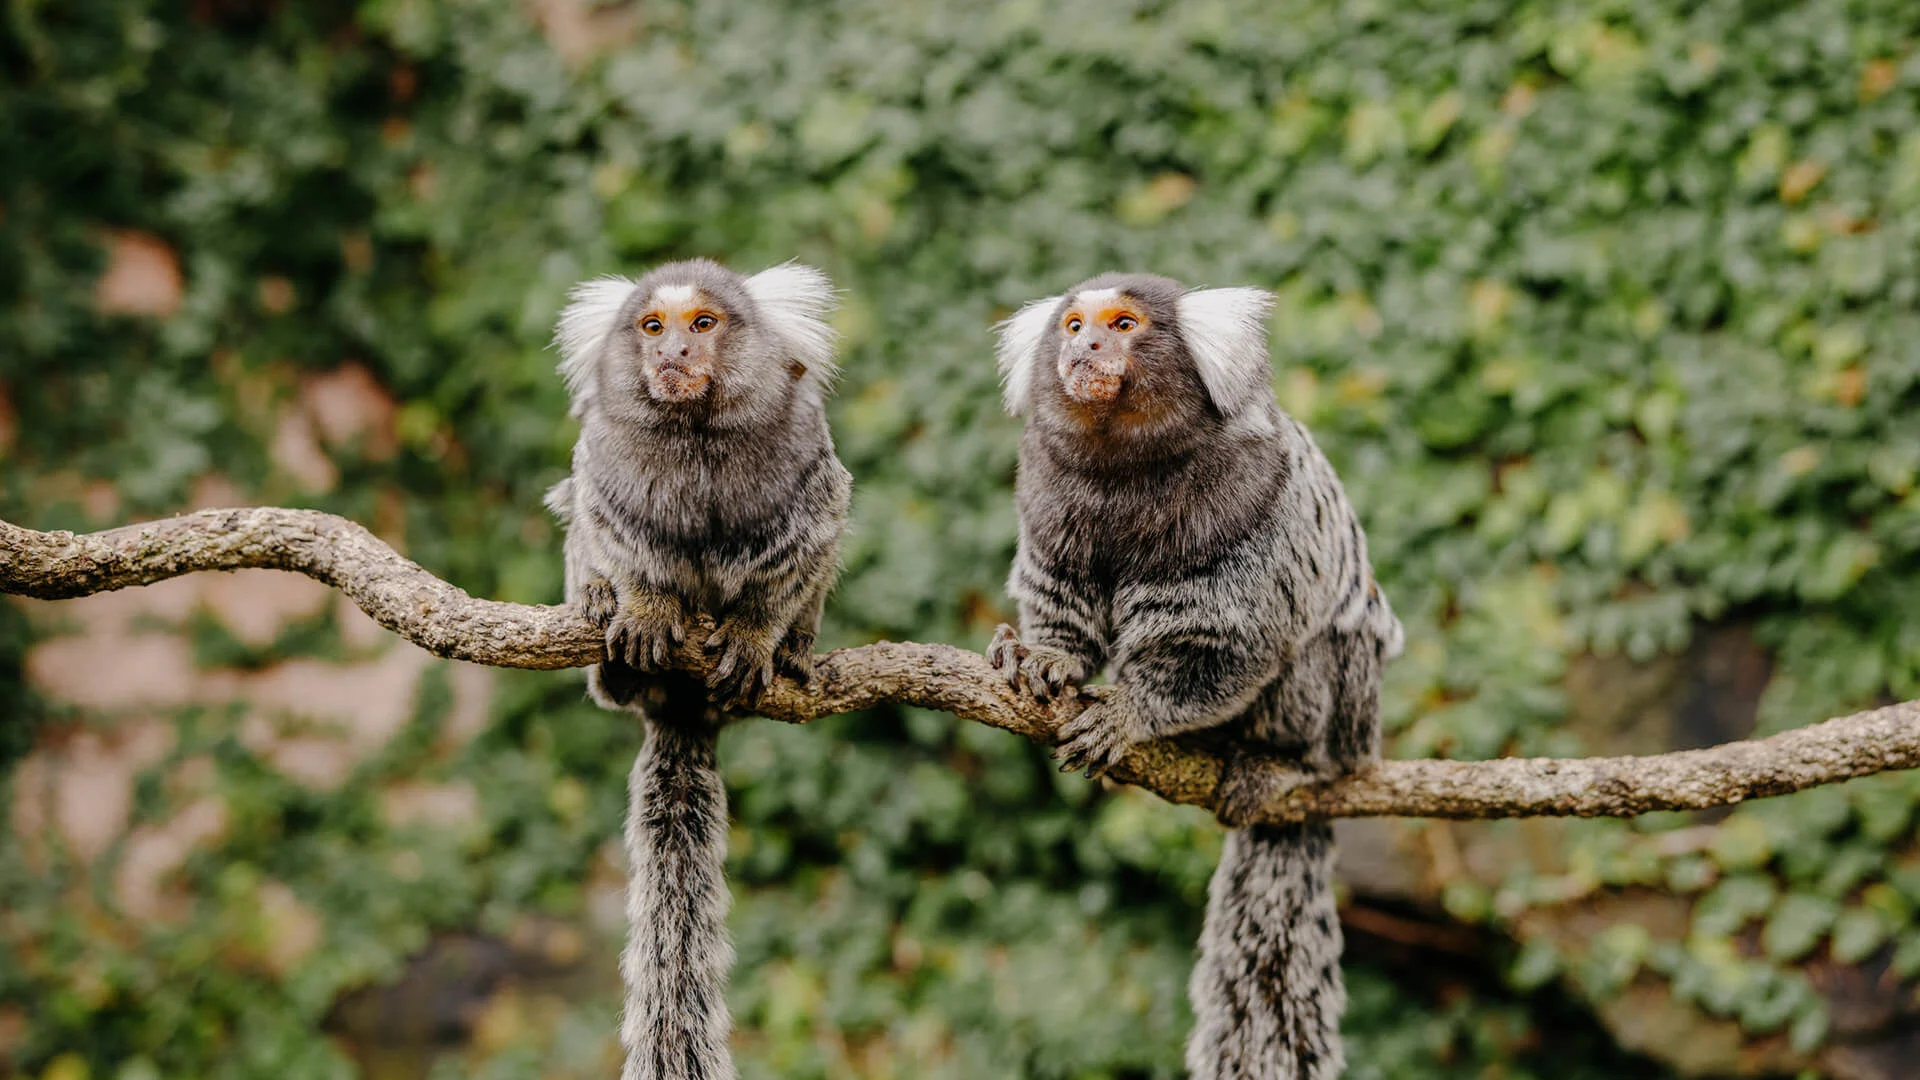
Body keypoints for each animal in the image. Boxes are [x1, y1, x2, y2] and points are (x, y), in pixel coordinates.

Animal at [544, 258, 851, 1080]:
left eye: (703, 324)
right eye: (653, 327)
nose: (674, 353)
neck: (697, 442)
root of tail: (680, 707)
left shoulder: (811, 485)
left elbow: (798, 554)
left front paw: (757, 634)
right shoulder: (608, 475)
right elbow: (608, 526)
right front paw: (642, 607)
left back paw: (793, 652)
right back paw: (605, 633)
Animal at [986, 273, 1402, 1080]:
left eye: (1122, 325)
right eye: (1074, 325)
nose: (1086, 346)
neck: (1124, 471)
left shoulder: (1253, 505)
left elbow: (1236, 647)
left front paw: (1130, 713)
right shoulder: (1049, 493)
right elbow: (1061, 604)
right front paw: (1045, 658)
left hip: (1351, 716)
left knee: (1317, 651)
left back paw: (1281, 761)